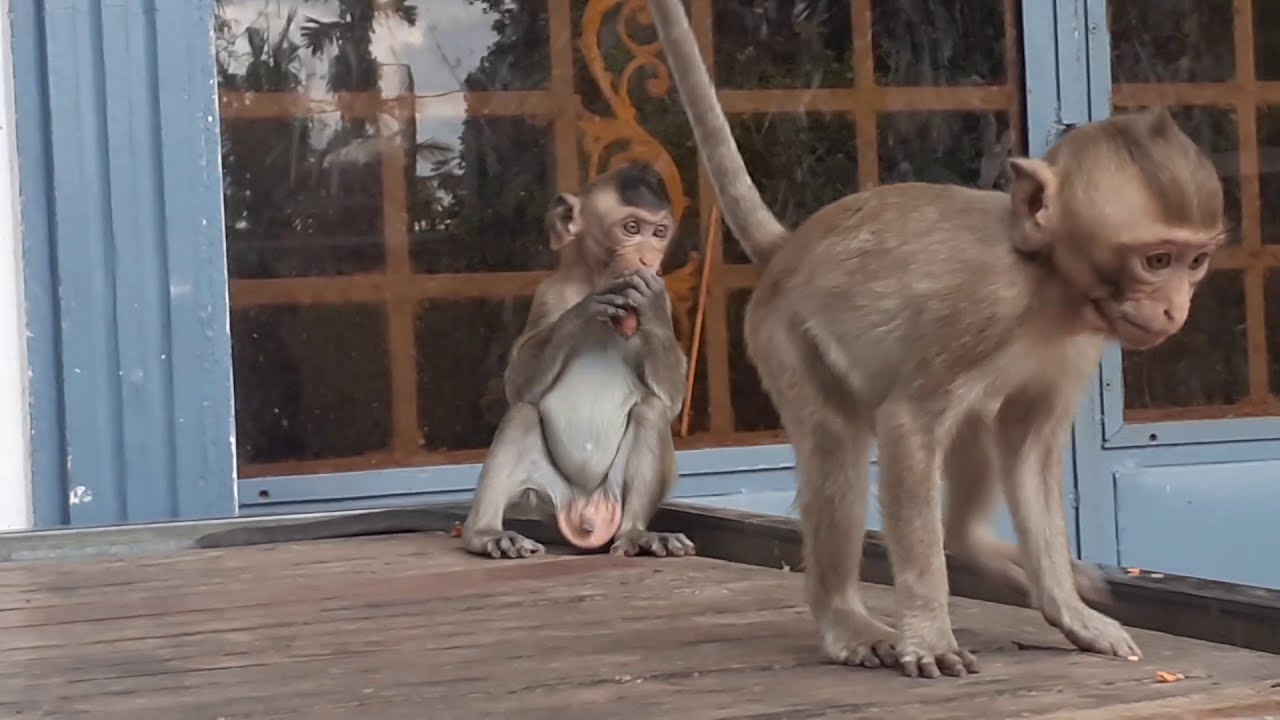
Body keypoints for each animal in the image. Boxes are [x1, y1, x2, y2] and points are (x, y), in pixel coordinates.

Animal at [195, 163, 696, 561]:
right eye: (631, 228)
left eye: (659, 232)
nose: (647, 258)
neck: (593, 277)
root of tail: (584, 519)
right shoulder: (550, 294)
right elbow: (520, 385)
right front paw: (590, 306)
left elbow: (669, 401)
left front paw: (647, 306)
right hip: (543, 498)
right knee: (522, 415)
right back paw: (486, 534)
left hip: (611, 498)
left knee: (650, 413)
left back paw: (638, 534)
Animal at [646, 0, 1224, 679]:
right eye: (1157, 260)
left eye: (1195, 262)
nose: (1175, 308)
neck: (1048, 282)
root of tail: (791, 248)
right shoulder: (982, 305)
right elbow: (909, 424)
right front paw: (929, 632)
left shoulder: (1080, 343)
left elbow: (1028, 449)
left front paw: (1068, 610)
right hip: (783, 335)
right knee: (837, 442)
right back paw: (846, 618)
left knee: (980, 422)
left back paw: (973, 546)